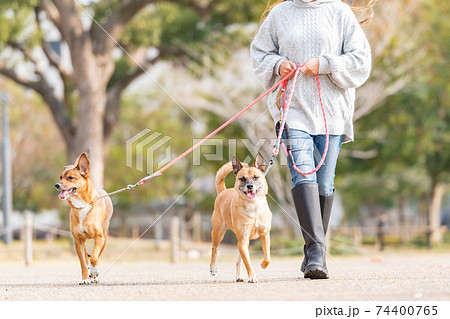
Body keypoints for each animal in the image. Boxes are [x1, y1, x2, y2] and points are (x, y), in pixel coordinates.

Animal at [55, 154, 113, 286]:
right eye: (60, 177)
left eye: (70, 178)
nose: (57, 185)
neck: (82, 206)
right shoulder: (78, 241)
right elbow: (83, 262)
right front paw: (85, 278)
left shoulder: (99, 238)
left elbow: (94, 258)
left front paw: (94, 272)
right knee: (86, 258)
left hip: (104, 238)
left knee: (96, 256)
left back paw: (94, 275)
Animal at [209, 154, 272, 284]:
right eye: (242, 178)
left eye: (256, 177)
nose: (250, 186)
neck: (253, 206)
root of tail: (223, 191)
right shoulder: (242, 240)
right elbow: (248, 263)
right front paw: (252, 277)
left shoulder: (264, 235)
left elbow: (267, 257)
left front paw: (263, 265)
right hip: (219, 233)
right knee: (214, 248)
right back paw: (213, 268)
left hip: (244, 242)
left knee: (239, 261)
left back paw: (239, 276)